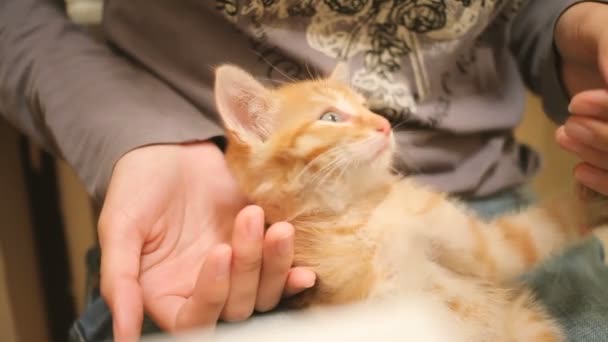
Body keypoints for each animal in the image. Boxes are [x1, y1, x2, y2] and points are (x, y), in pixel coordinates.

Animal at [214, 63, 608, 340]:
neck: (361, 214)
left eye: (366, 107)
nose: (384, 124)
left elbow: (536, 230)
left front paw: (595, 196)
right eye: (331, 117)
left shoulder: (483, 249)